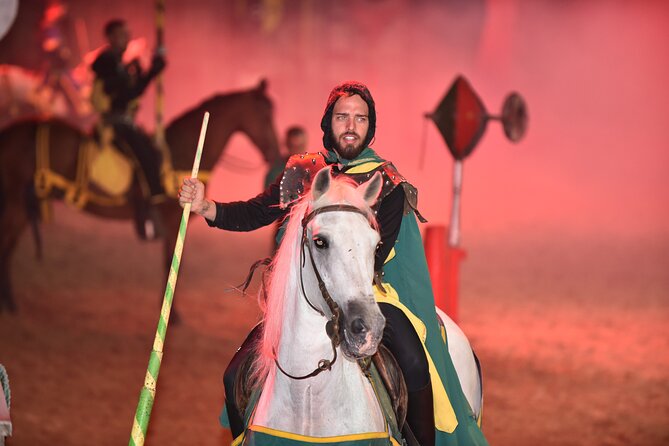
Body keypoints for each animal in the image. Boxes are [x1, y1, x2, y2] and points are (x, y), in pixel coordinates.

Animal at [0, 80, 280, 312]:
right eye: (265, 113)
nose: (275, 153)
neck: (179, 150)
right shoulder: (172, 222)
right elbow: (169, 262)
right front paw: (172, 315)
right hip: (15, 202)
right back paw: (10, 302)